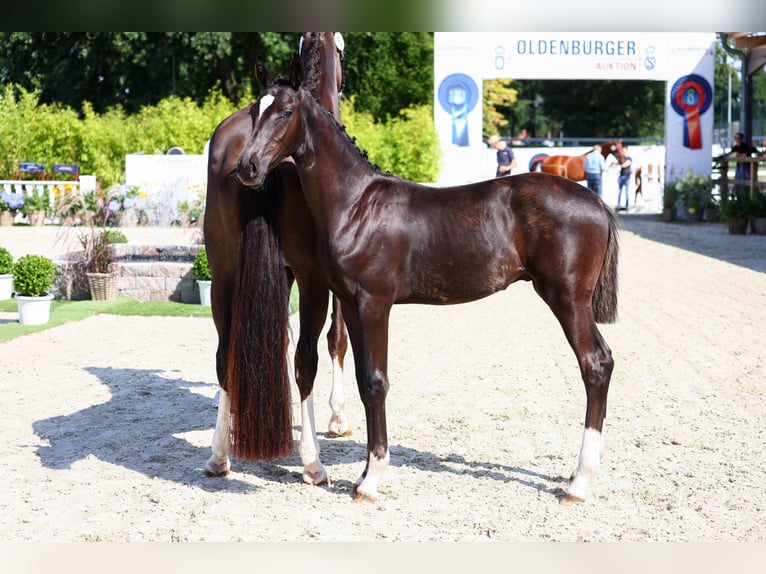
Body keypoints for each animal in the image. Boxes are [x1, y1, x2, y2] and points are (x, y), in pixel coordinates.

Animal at [202, 32, 350, 490]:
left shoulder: (277, 276)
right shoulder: (327, 278)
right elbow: (334, 341)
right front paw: (337, 418)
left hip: (222, 275)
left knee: (225, 354)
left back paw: (220, 454)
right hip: (311, 281)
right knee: (306, 361)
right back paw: (312, 462)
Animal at [237, 57, 620, 508]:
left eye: (285, 112)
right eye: (253, 111)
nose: (247, 168)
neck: (356, 204)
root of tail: (595, 201)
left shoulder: (374, 304)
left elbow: (376, 381)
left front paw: (372, 481)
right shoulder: (350, 304)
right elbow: (365, 382)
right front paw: (363, 474)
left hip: (567, 298)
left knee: (596, 364)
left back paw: (579, 482)